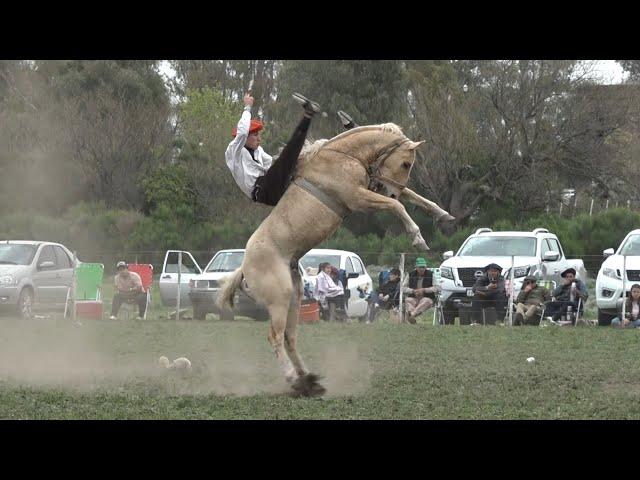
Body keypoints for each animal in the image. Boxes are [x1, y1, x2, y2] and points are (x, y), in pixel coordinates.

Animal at [220, 124, 456, 398]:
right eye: (406, 163)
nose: (391, 189)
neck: (343, 157)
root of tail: (245, 265)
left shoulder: (370, 189)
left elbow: (412, 195)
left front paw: (443, 214)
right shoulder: (358, 198)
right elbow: (396, 205)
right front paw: (417, 237)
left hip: (293, 298)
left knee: (290, 338)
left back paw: (308, 381)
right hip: (279, 299)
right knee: (275, 337)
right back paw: (293, 379)